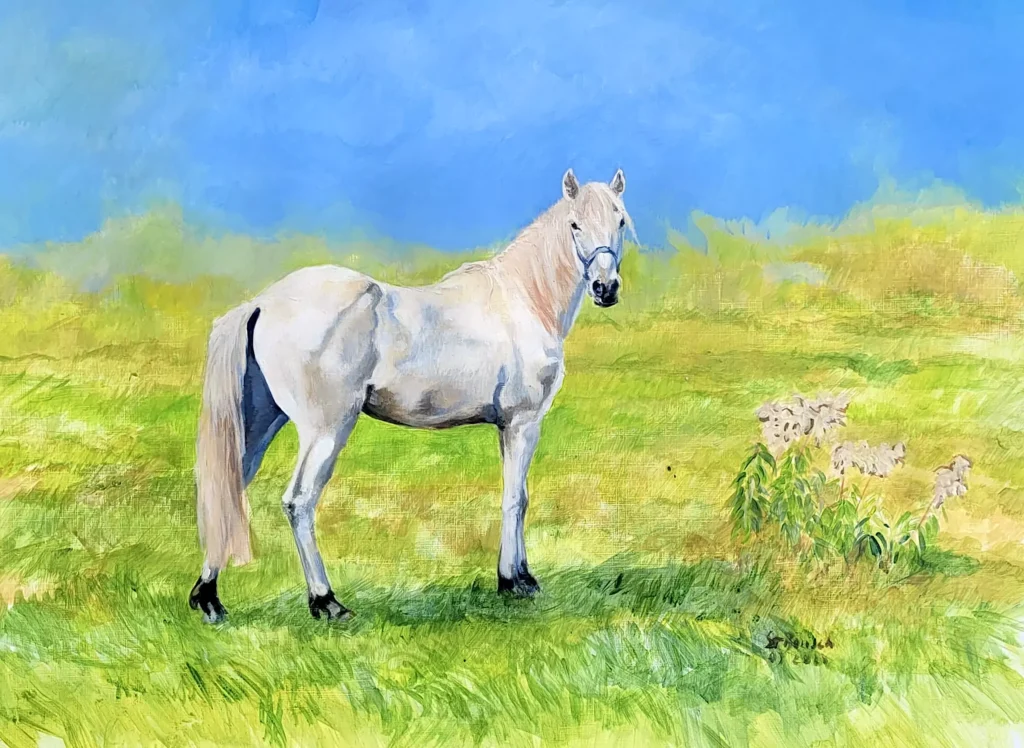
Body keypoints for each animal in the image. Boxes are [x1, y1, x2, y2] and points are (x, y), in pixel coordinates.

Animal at [188, 168, 635, 623]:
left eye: (619, 221)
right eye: (575, 224)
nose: (606, 288)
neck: (523, 299)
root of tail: (261, 302)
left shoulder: (507, 426)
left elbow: (517, 496)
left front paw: (518, 577)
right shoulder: (522, 422)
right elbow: (516, 499)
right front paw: (514, 582)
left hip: (261, 421)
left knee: (227, 490)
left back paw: (209, 599)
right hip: (325, 429)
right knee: (298, 501)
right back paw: (326, 601)